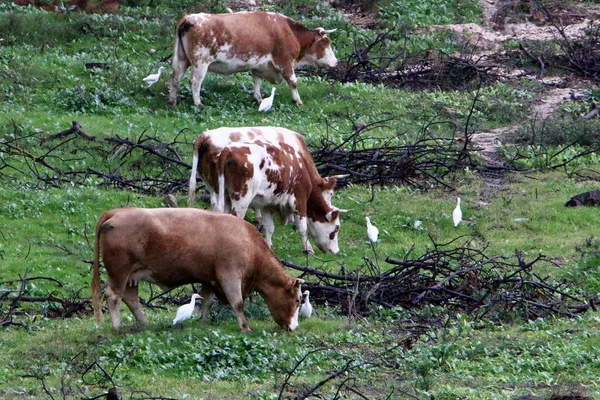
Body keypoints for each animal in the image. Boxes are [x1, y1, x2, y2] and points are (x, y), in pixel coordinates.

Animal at [91, 206, 304, 332]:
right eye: (298, 299)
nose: (294, 327)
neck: (249, 243)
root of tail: (117, 212)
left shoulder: (209, 277)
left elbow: (207, 301)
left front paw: (203, 322)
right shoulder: (230, 275)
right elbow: (237, 303)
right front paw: (245, 327)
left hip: (131, 276)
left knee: (131, 299)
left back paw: (144, 323)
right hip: (119, 272)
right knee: (113, 296)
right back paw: (117, 326)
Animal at [169, 11, 338, 106]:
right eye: (325, 43)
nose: (336, 62)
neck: (289, 32)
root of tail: (188, 18)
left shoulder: (259, 65)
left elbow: (257, 82)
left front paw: (258, 99)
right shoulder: (285, 62)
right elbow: (293, 82)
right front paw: (298, 101)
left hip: (181, 60)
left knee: (175, 79)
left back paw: (172, 101)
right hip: (201, 62)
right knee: (195, 82)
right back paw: (198, 103)